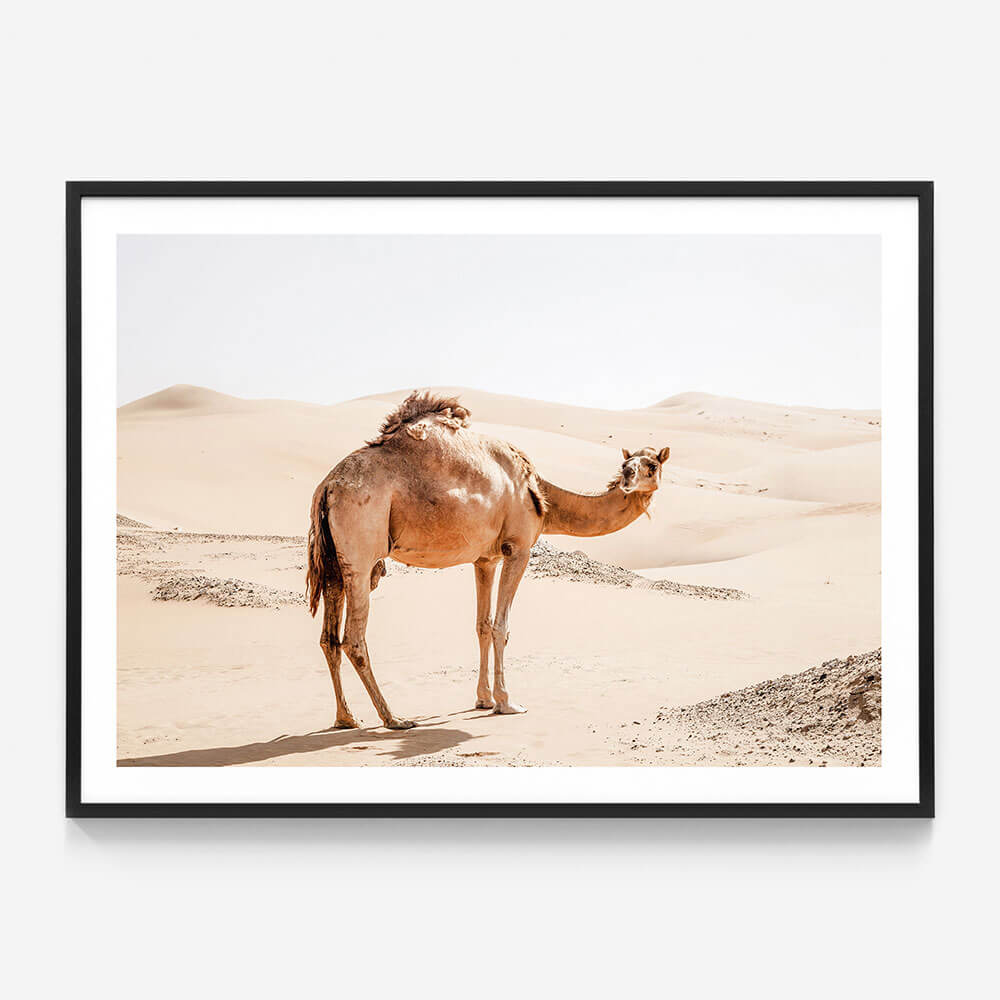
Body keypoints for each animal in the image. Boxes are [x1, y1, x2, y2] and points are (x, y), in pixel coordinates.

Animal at [306, 391, 670, 729]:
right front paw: (507, 702)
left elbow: (482, 624)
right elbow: (501, 626)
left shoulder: (485, 559)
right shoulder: (518, 548)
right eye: (629, 465)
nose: (628, 477)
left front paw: (483, 699)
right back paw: (394, 718)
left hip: (335, 561)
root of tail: (327, 487)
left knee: (329, 638)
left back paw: (347, 718)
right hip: (361, 552)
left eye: (651, 465)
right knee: (354, 639)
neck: (542, 496)